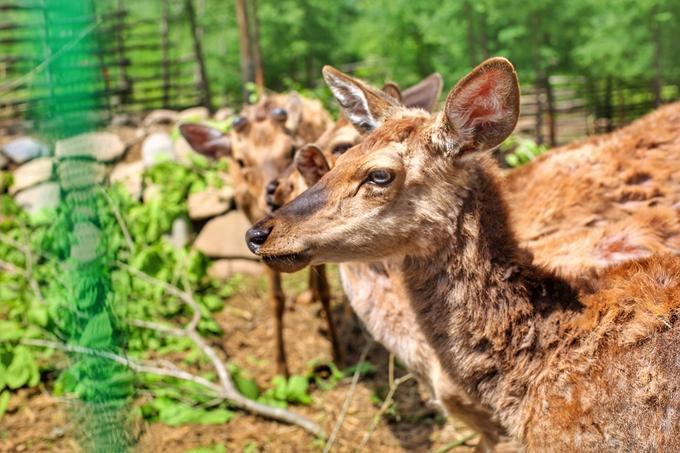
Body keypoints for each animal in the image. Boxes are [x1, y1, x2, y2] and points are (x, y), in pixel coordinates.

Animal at [178, 92, 332, 374]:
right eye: (240, 161)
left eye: (291, 149)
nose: (274, 198)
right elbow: (276, 297)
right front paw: (281, 369)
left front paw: (338, 355)